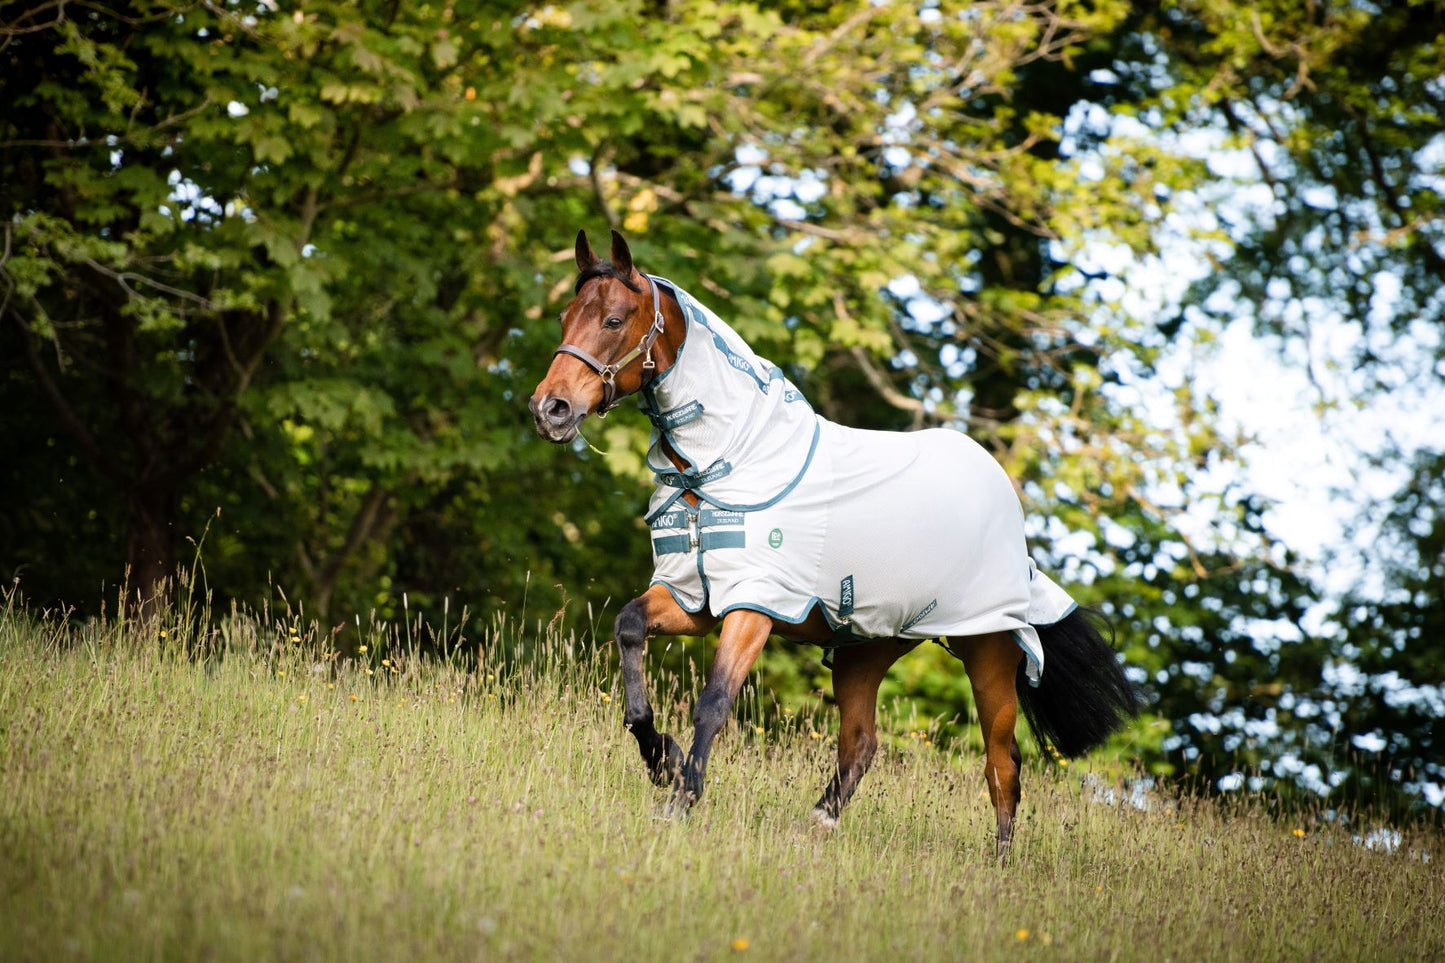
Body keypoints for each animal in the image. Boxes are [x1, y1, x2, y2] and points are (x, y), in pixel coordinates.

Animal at [531, 228, 1138, 850]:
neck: (729, 461)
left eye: (613, 319)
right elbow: (629, 631)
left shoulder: (755, 605)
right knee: (862, 742)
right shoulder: (692, 598)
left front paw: (681, 798)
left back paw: (999, 860)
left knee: (1002, 762)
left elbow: (714, 702)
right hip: (865, 650)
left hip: (988, 651)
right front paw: (664, 761)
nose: (550, 408)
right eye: (564, 316)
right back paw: (816, 823)